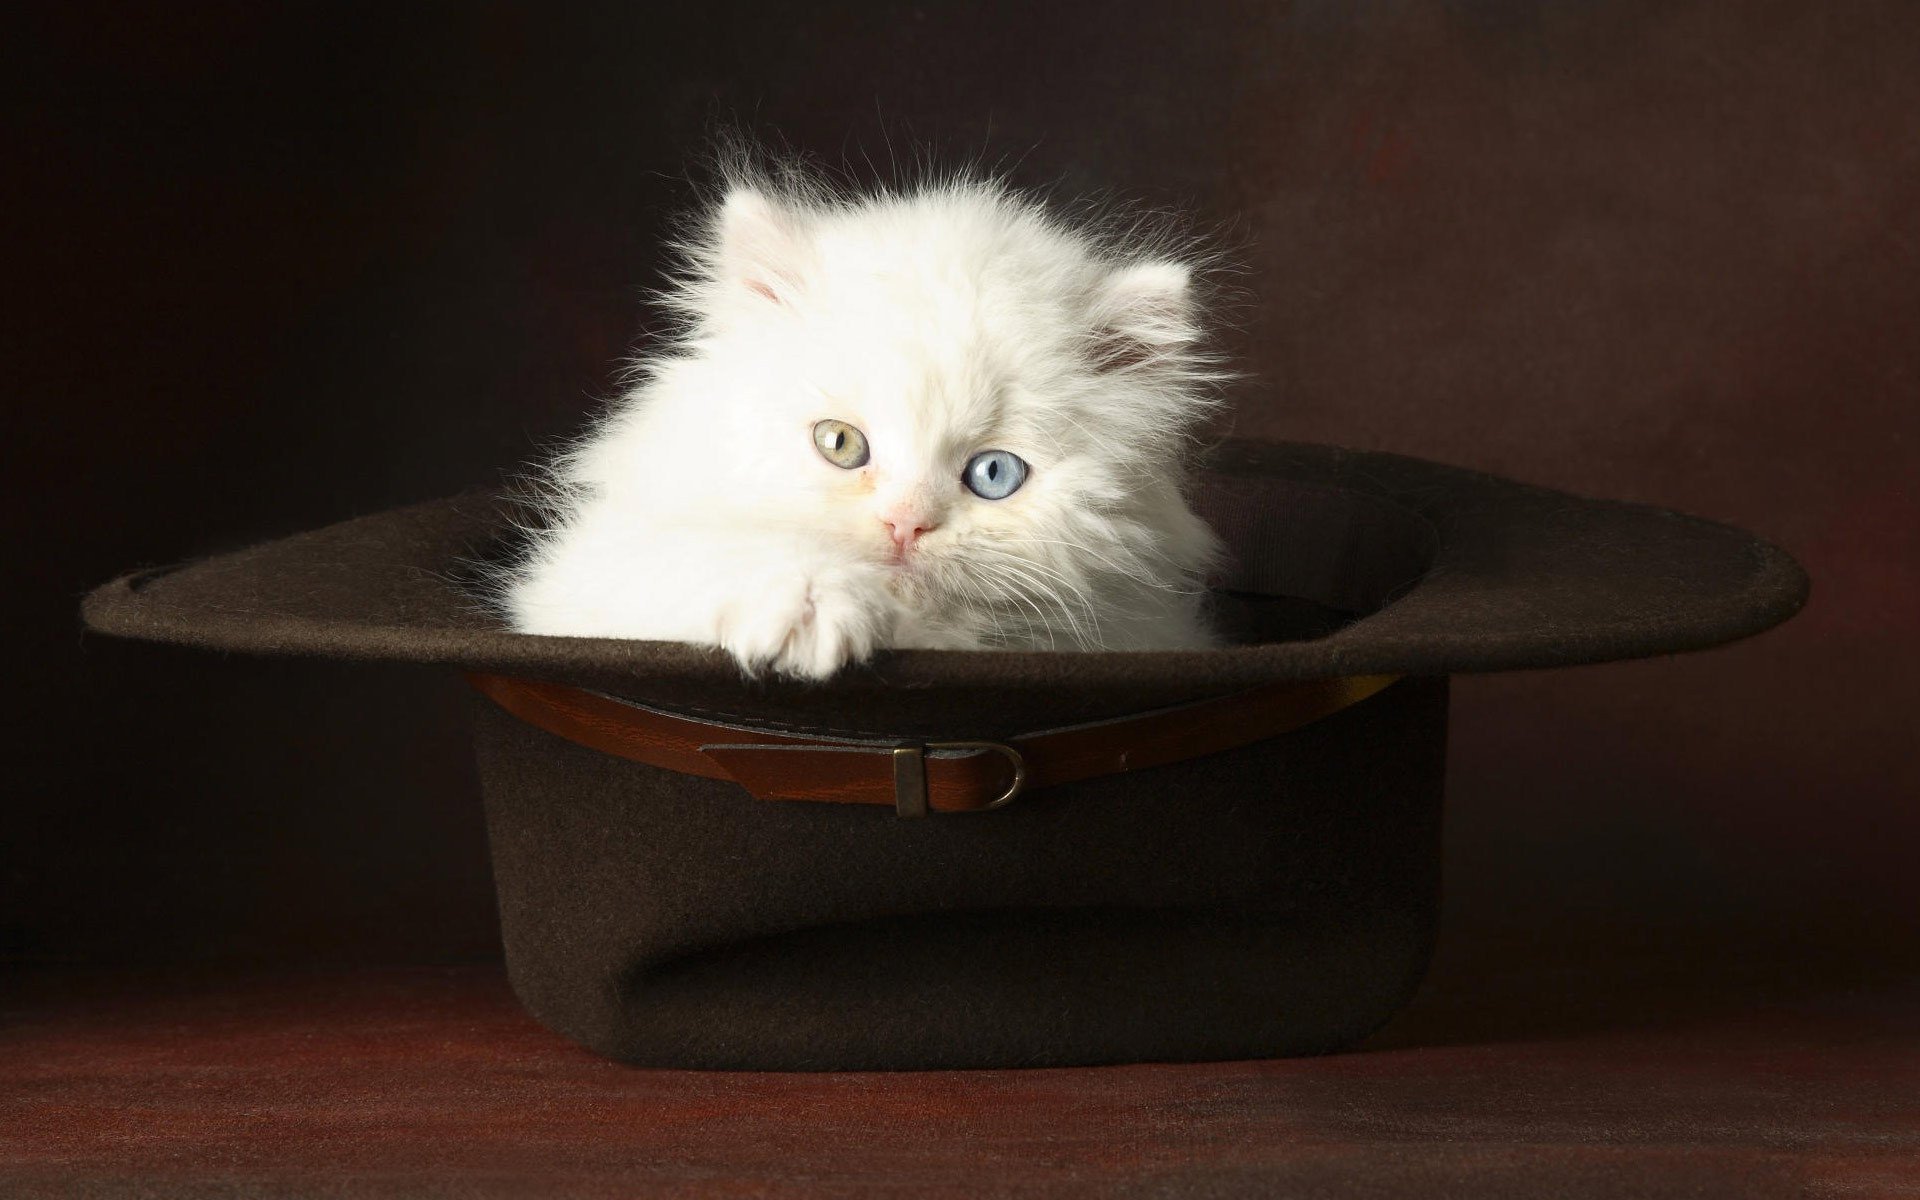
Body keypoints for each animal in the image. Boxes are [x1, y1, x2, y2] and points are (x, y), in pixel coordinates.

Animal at [506, 169, 1228, 679]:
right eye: (840, 444)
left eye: (994, 474)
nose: (905, 524)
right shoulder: (579, 578)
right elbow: (705, 554)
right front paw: (808, 611)